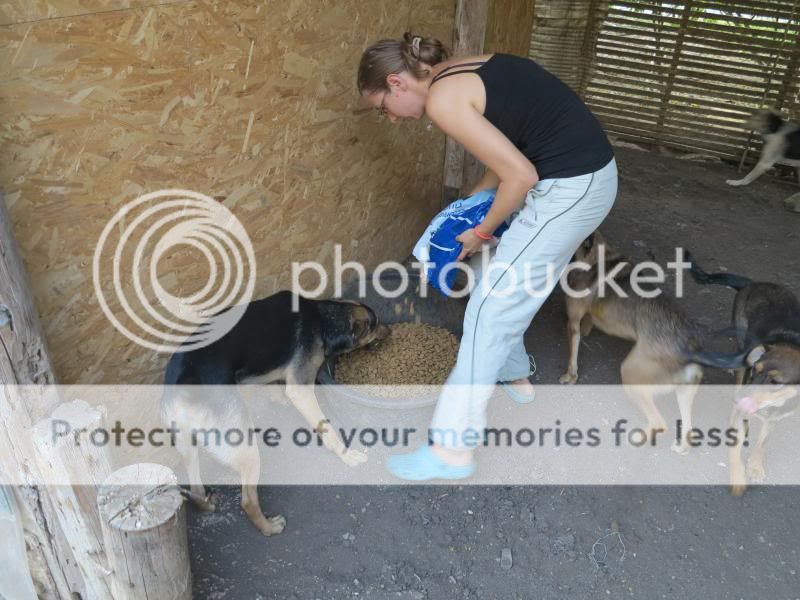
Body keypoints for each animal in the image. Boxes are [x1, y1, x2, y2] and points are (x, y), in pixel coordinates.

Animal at [162, 290, 388, 536]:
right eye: (375, 325)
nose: (389, 331)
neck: (322, 317)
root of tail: (184, 385)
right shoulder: (301, 388)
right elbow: (326, 428)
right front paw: (345, 454)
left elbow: (273, 385)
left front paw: (278, 399)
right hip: (245, 446)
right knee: (247, 501)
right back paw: (268, 527)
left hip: (187, 447)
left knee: (195, 489)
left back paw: (206, 501)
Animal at [560, 232, 748, 452]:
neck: (600, 256)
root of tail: (692, 349)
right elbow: (587, 327)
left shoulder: (572, 323)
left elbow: (572, 353)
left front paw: (570, 376)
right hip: (684, 392)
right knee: (689, 431)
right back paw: (680, 446)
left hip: (631, 374)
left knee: (659, 422)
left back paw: (636, 438)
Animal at [688, 255, 800, 494]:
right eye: (755, 370)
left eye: (775, 382)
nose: (738, 399)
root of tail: (752, 283)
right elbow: (734, 450)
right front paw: (738, 476)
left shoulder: (775, 419)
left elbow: (763, 443)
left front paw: (755, 467)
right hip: (741, 349)